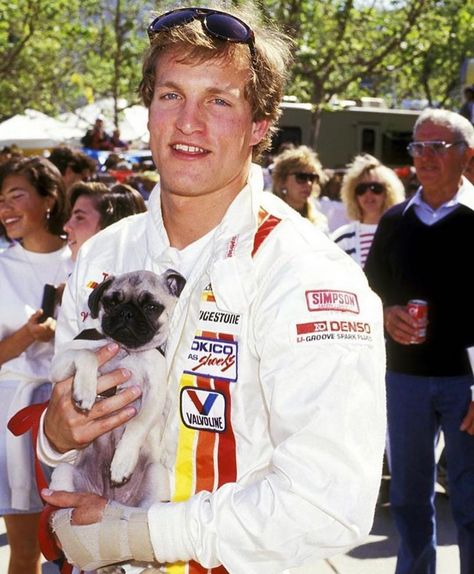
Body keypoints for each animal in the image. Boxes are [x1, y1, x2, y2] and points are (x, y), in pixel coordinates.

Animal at [49, 270, 185, 508]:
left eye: (151, 307)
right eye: (111, 302)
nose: (126, 313)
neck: (125, 350)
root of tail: (110, 497)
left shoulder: (155, 393)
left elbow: (137, 425)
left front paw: (122, 462)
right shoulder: (59, 364)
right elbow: (87, 354)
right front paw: (85, 391)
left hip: (156, 476)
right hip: (64, 472)